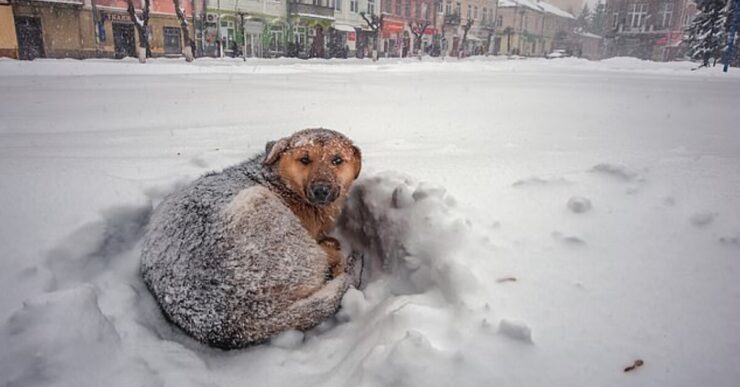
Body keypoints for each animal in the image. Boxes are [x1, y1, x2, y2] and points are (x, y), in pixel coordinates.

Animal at [141, 129, 362, 350]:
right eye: (305, 159)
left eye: (337, 160)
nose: (321, 191)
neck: (280, 183)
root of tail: (235, 325)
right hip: (261, 209)